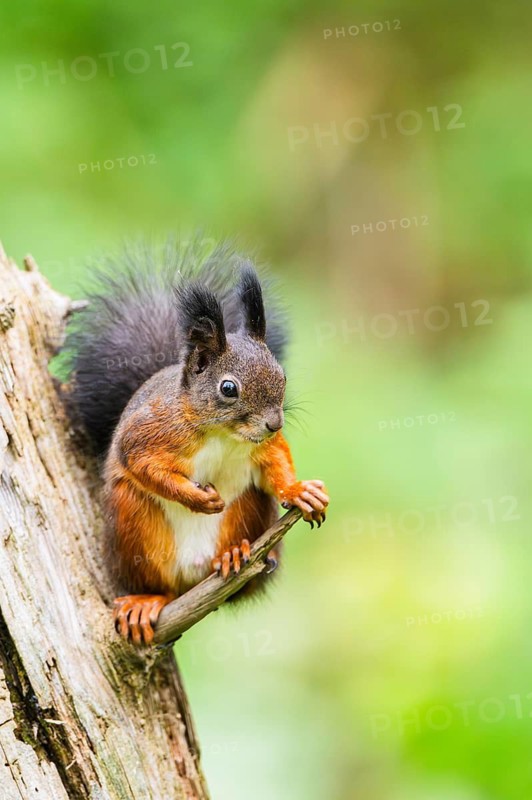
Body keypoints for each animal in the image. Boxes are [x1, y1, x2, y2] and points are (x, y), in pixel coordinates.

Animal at [65, 240, 329, 645]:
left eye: (281, 374)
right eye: (228, 388)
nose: (274, 422)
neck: (224, 435)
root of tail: (191, 579)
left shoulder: (262, 446)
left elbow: (276, 461)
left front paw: (300, 491)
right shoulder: (148, 433)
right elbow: (144, 464)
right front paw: (197, 497)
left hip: (249, 508)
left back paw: (234, 554)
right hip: (131, 524)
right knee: (160, 586)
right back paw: (145, 600)